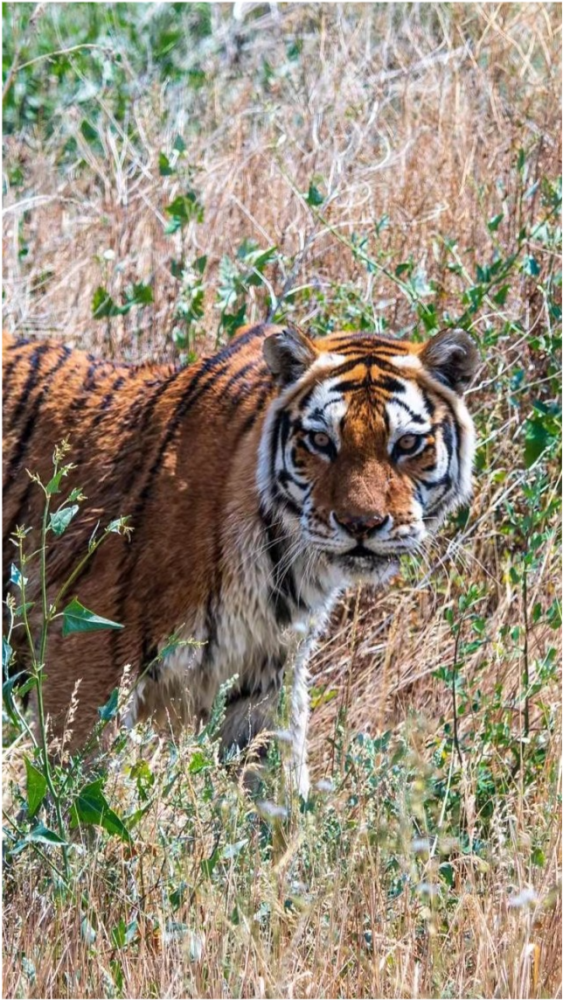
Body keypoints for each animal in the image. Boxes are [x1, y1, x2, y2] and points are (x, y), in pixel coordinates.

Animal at [0, 324, 478, 792]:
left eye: (408, 443)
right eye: (321, 440)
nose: (361, 524)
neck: (286, 563)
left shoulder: (266, 680)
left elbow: (280, 794)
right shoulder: (85, 657)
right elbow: (72, 795)